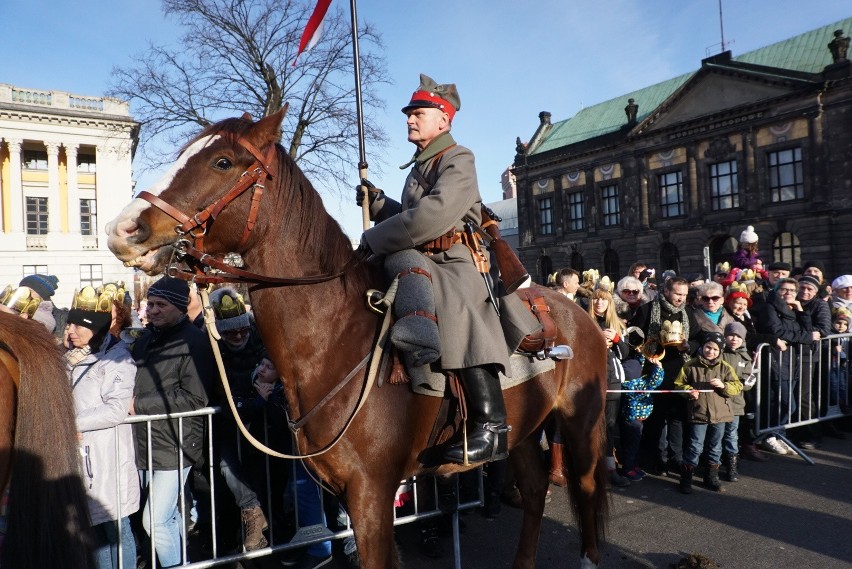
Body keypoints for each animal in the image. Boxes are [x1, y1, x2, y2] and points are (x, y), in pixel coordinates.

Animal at [106, 110, 608, 568]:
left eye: (223, 162)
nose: (123, 229)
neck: (336, 339)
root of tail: (576, 313)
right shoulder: (350, 493)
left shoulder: (372, 495)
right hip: (524, 430)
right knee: (536, 489)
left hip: (580, 421)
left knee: (585, 487)